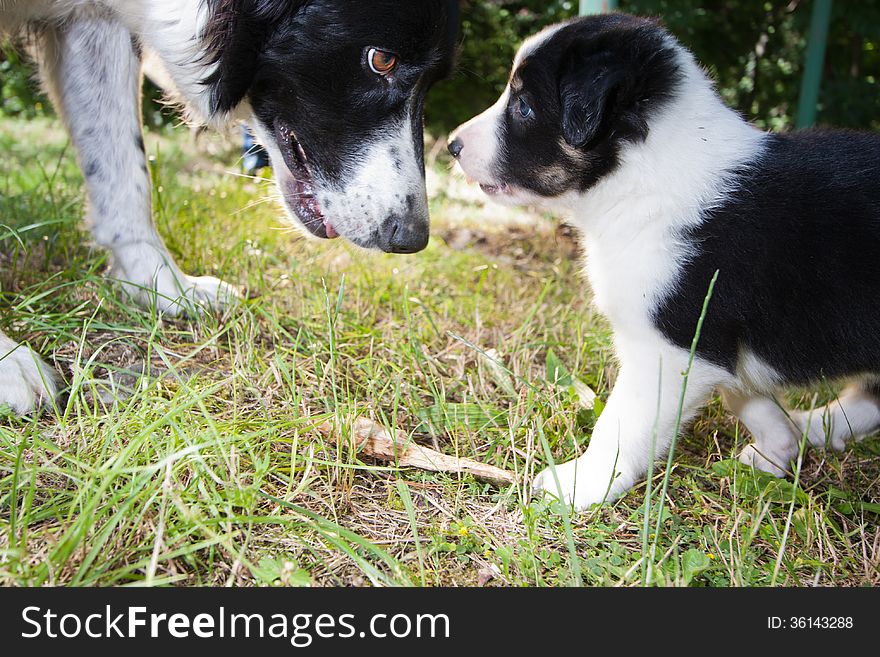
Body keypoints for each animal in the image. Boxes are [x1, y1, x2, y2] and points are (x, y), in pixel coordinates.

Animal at [1, 1, 460, 416]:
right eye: (381, 59)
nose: (412, 238)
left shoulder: (93, 20)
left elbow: (125, 173)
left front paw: (165, 286)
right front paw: (8, 364)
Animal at [446, 14, 880, 508]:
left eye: (524, 106)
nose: (451, 144)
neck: (643, 177)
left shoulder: (668, 347)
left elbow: (622, 424)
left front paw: (581, 484)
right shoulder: (709, 345)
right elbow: (741, 392)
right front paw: (779, 444)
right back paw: (816, 427)